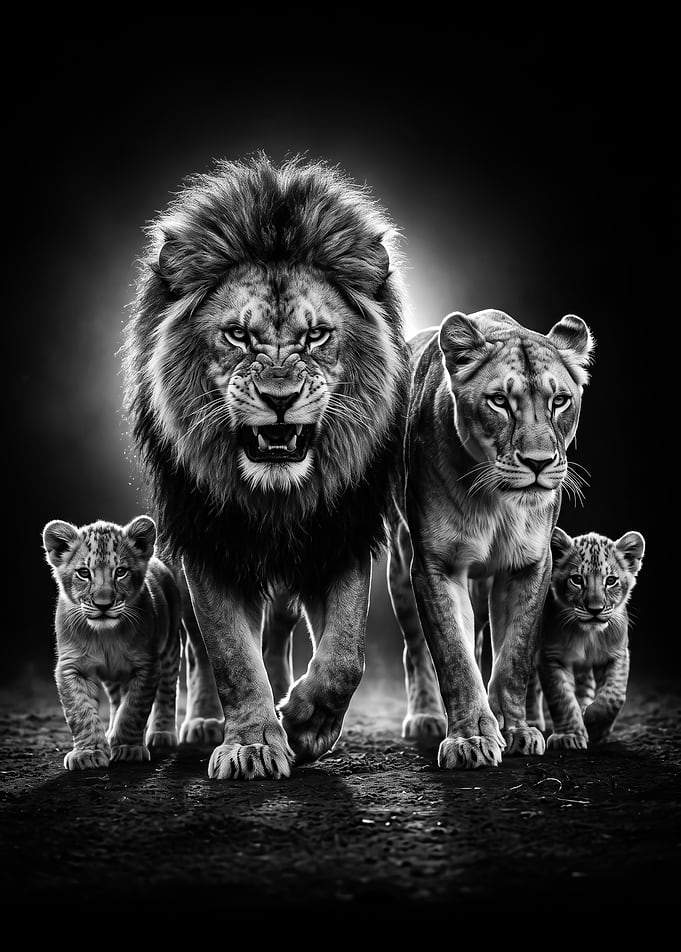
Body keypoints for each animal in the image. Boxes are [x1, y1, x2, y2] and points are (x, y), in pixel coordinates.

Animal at [123, 154, 409, 780]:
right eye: (237, 334)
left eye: (317, 335)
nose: (280, 399)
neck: (276, 496)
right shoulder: (208, 540)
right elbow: (230, 653)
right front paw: (252, 742)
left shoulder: (339, 530)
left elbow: (346, 656)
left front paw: (304, 724)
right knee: (205, 647)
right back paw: (206, 723)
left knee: (278, 628)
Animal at [387, 309, 594, 769]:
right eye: (499, 401)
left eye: (559, 401)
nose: (538, 463)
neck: (497, 501)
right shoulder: (436, 565)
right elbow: (454, 658)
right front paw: (472, 739)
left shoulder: (530, 565)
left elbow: (515, 655)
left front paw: (516, 729)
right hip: (401, 562)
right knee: (415, 649)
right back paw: (426, 717)